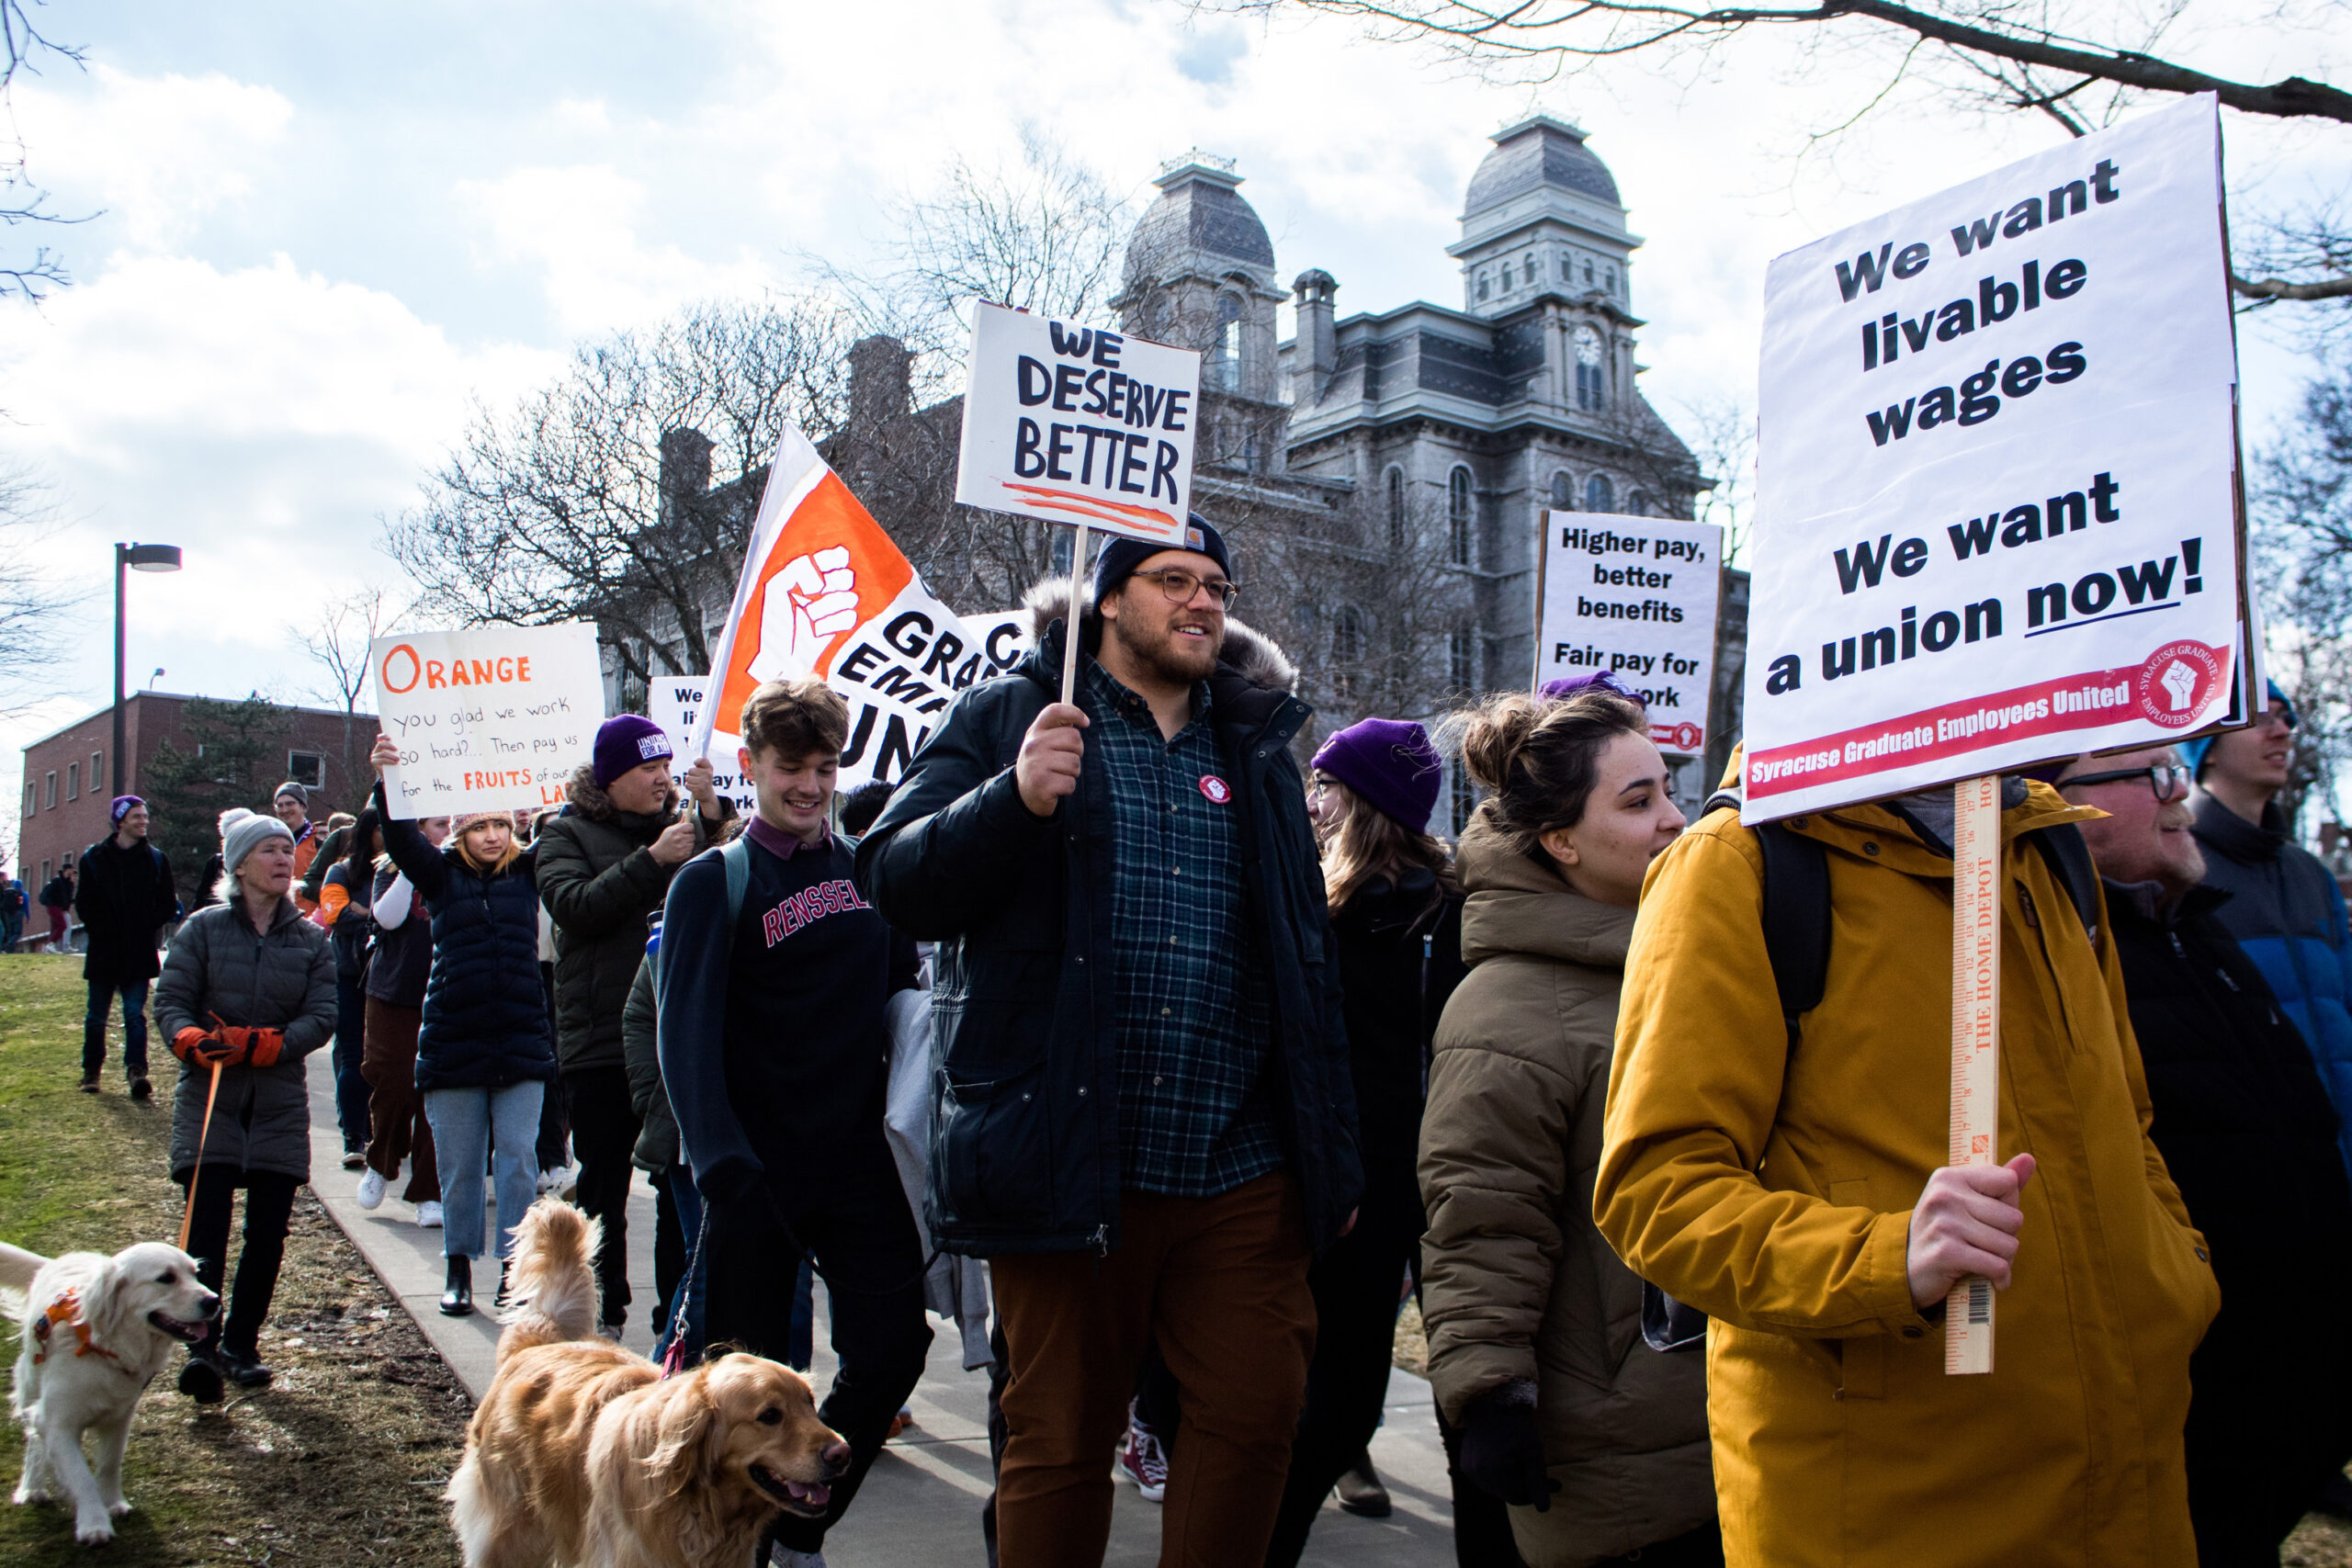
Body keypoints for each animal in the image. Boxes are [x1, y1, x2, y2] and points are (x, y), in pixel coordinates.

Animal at [4, 1241, 219, 1541]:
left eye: (195, 1274)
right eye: (166, 1278)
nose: (215, 1301)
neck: (104, 1347)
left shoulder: (119, 1417)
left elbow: (109, 1464)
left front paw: (112, 1503)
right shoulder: (57, 1423)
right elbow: (80, 1475)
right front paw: (94, 1524)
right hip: (31, 1389)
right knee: (34, 1441)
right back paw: (32, 1488)